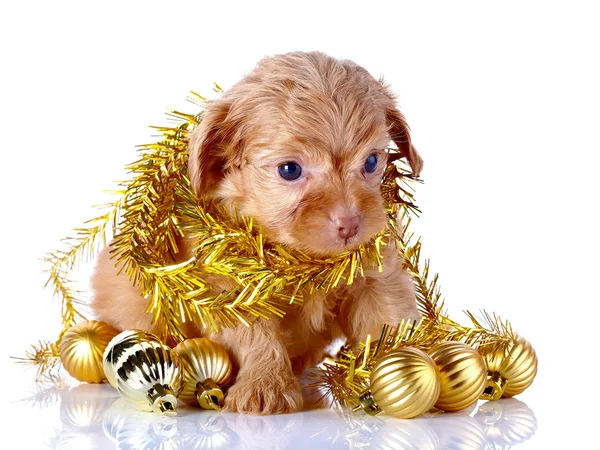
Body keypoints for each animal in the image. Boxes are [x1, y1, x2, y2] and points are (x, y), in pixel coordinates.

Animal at [92, 51, 422, 414]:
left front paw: (397, 368)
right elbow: (256, 335)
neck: (300, 259)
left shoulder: (377, 276)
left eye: (371, 162)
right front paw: (266, 385)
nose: (349, 223)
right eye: (290, 169)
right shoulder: (231, 291)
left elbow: (387, 322)